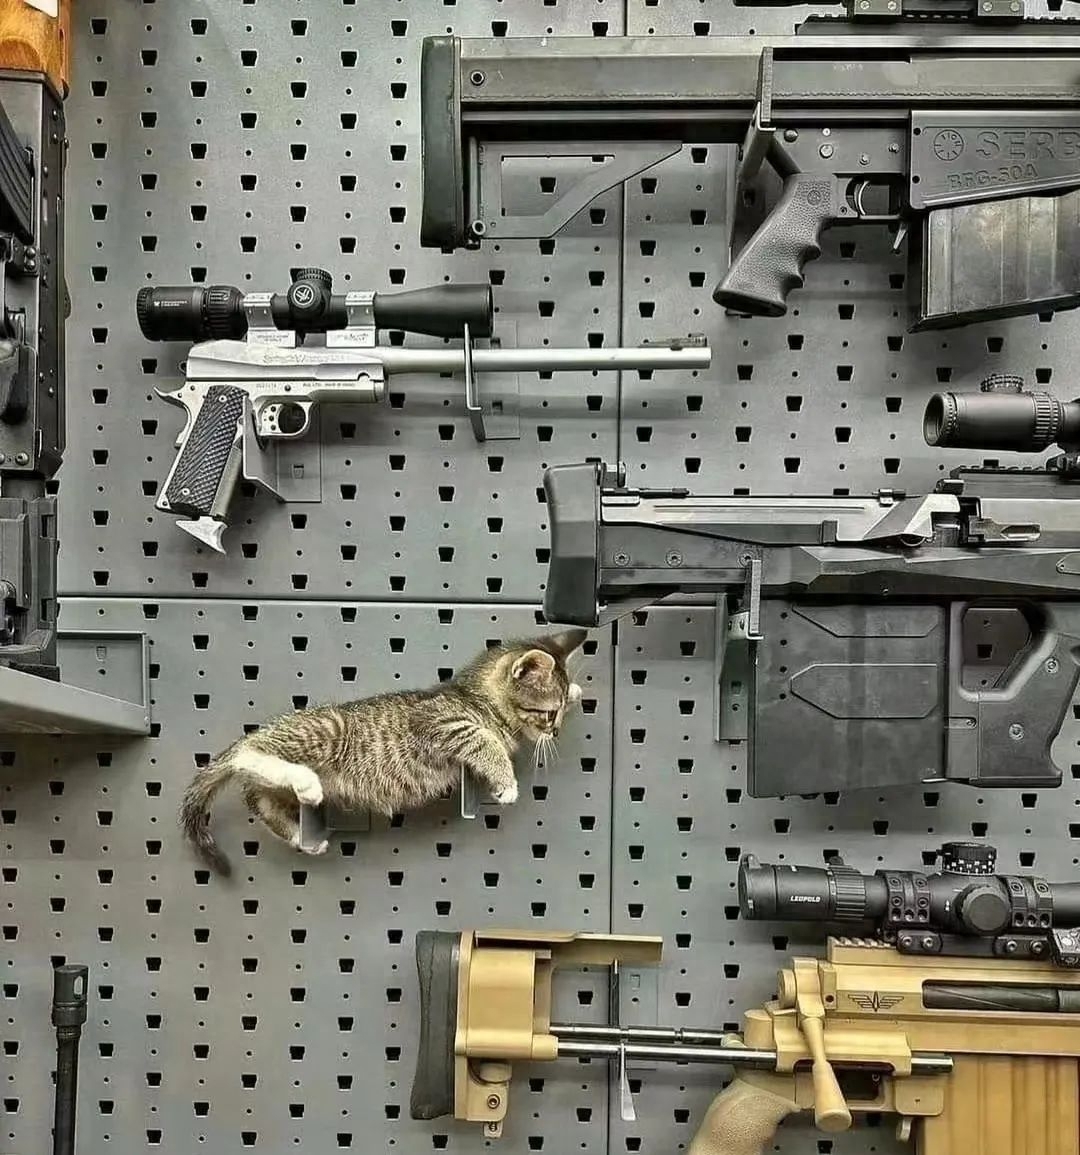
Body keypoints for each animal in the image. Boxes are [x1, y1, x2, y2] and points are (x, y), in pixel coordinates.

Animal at [179, 628, 588, 875]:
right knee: (249, 755)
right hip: (322, 731)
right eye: (547, 713)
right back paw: (299, 779)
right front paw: (506, 782)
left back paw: (300, 835)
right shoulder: (441, 724)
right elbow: (482, 740)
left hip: (278, 785)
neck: (477, 699)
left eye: (558, 714)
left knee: (258, 797)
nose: (555, 729)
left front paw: (576, 690)